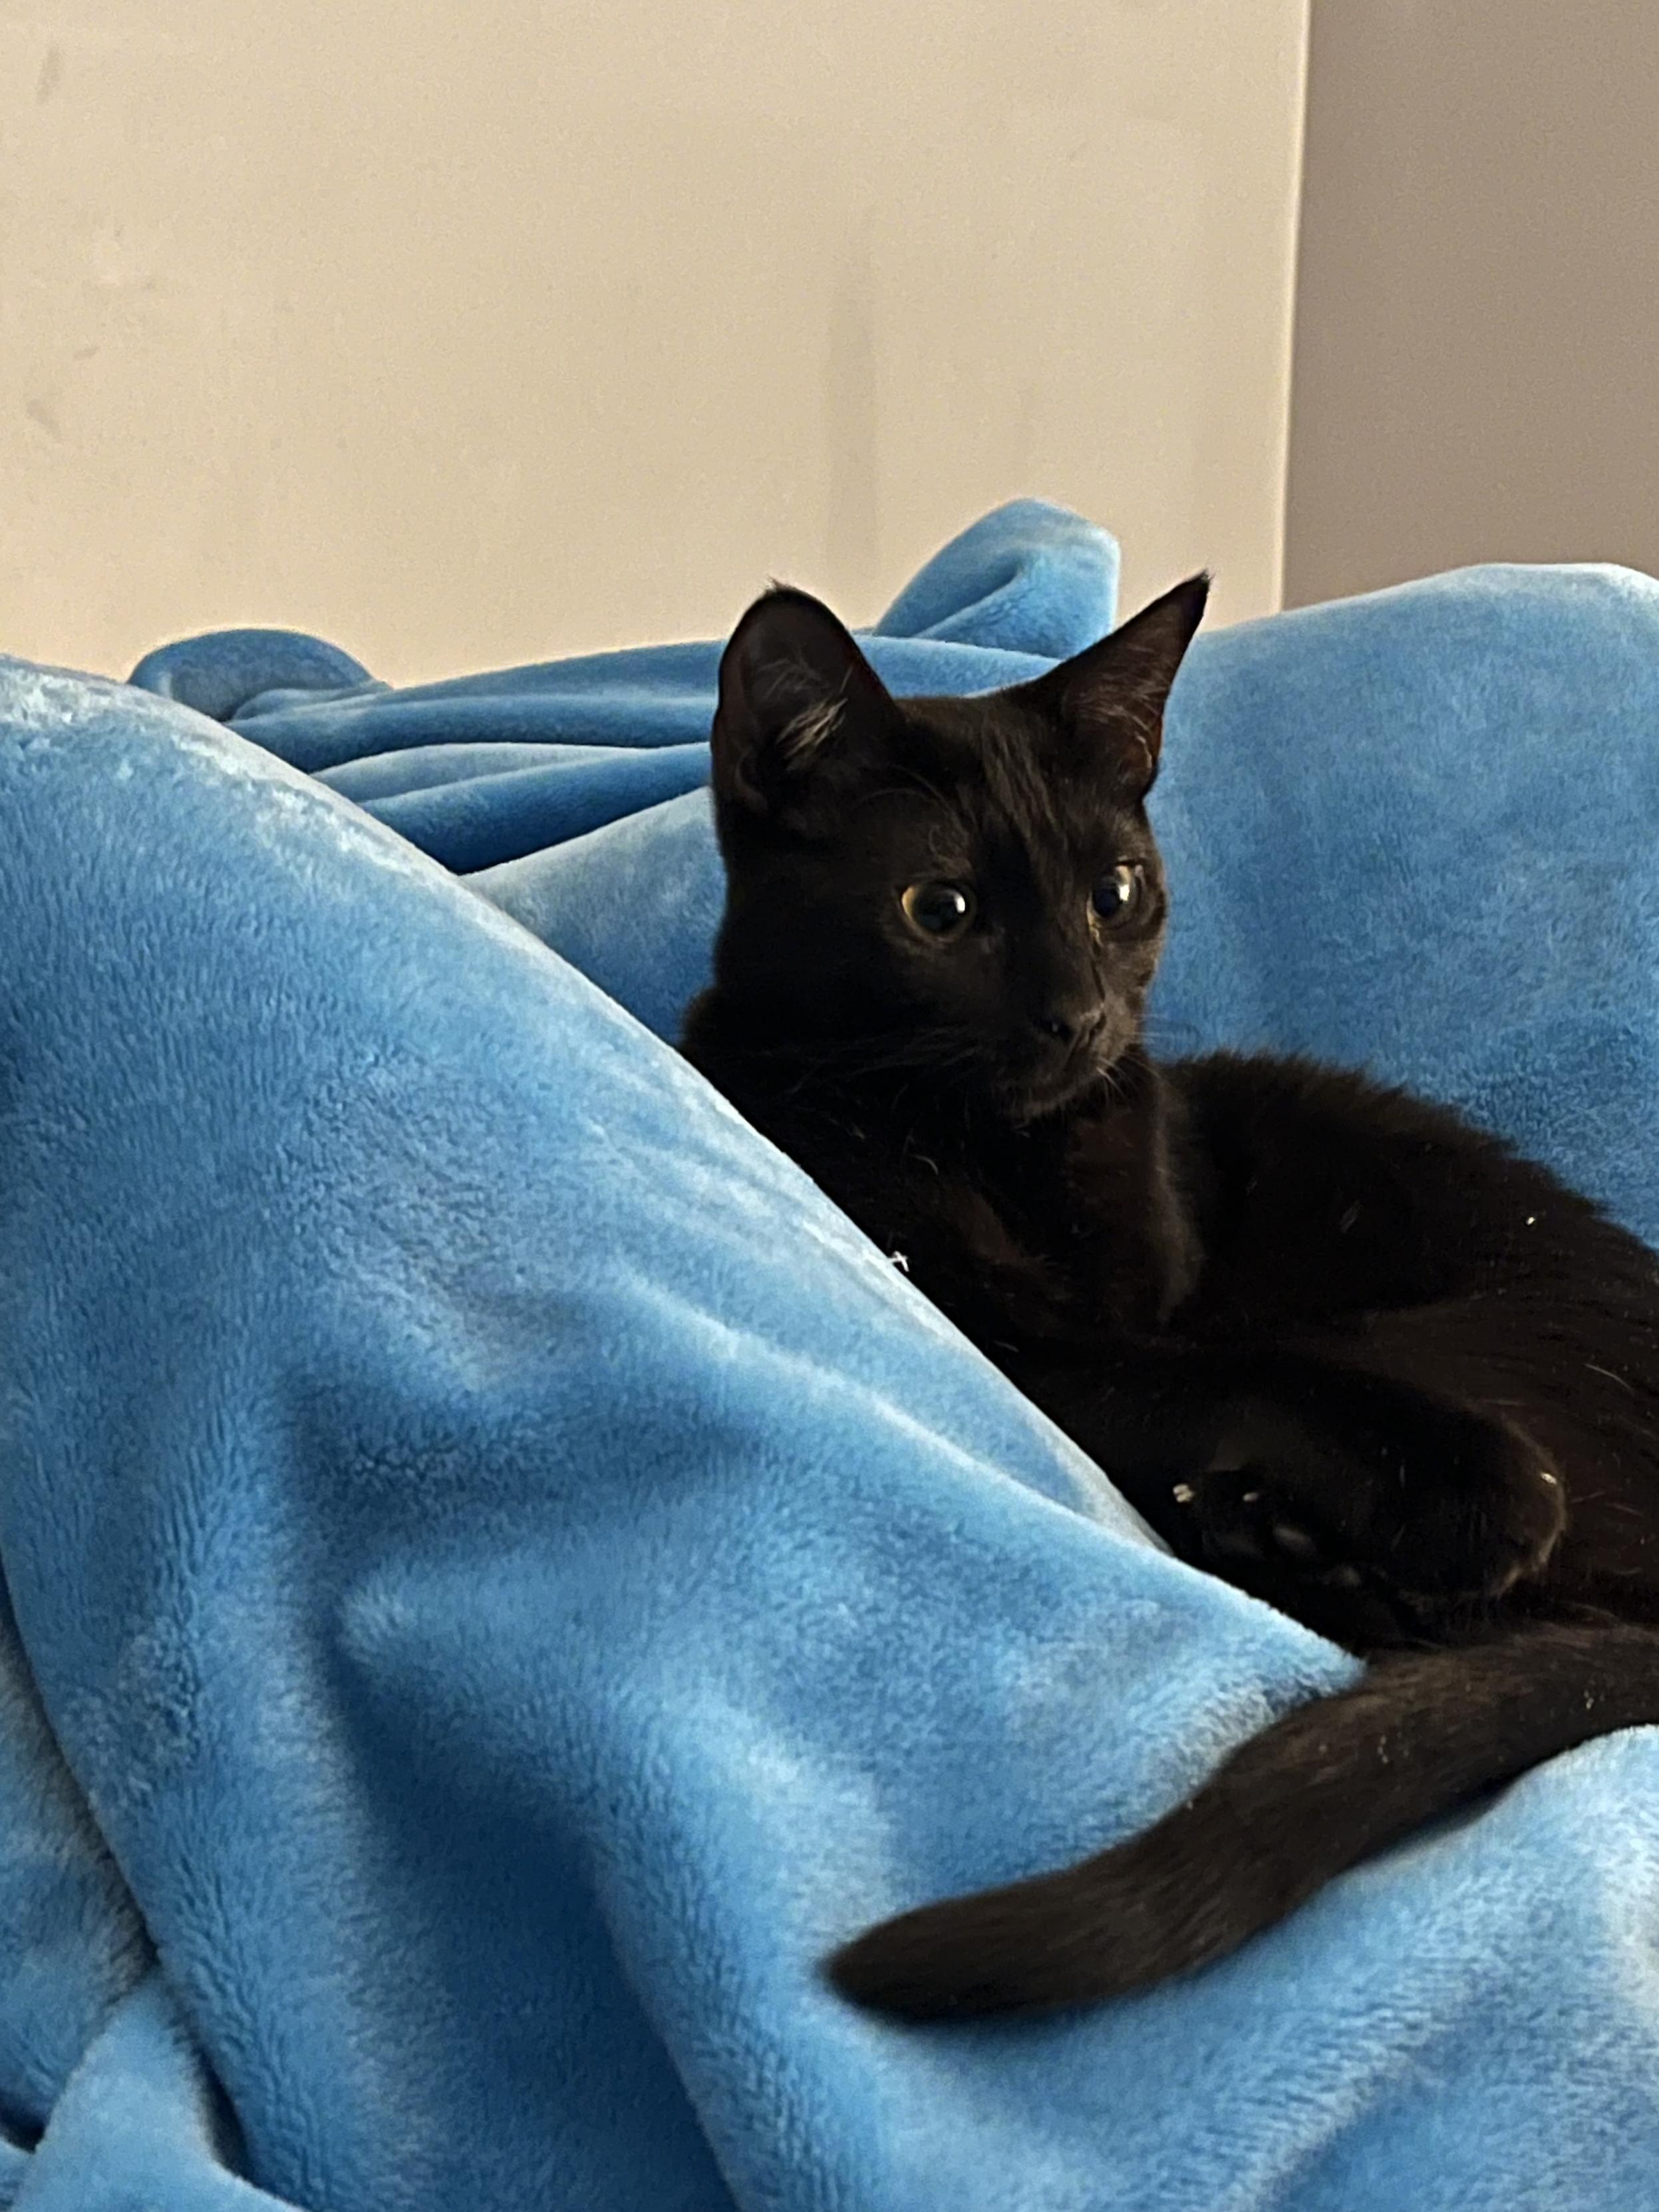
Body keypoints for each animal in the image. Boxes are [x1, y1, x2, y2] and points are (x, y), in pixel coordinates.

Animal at [677, 570, 1659, 2026]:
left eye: (1115, 892)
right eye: (937, 911)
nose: (1077, 1016)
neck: (1006, 1153)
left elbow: (1205, 1362)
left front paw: (1472, 1494)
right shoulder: (1022, 1344)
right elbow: (1219, 1372)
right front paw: (1471, 1484)